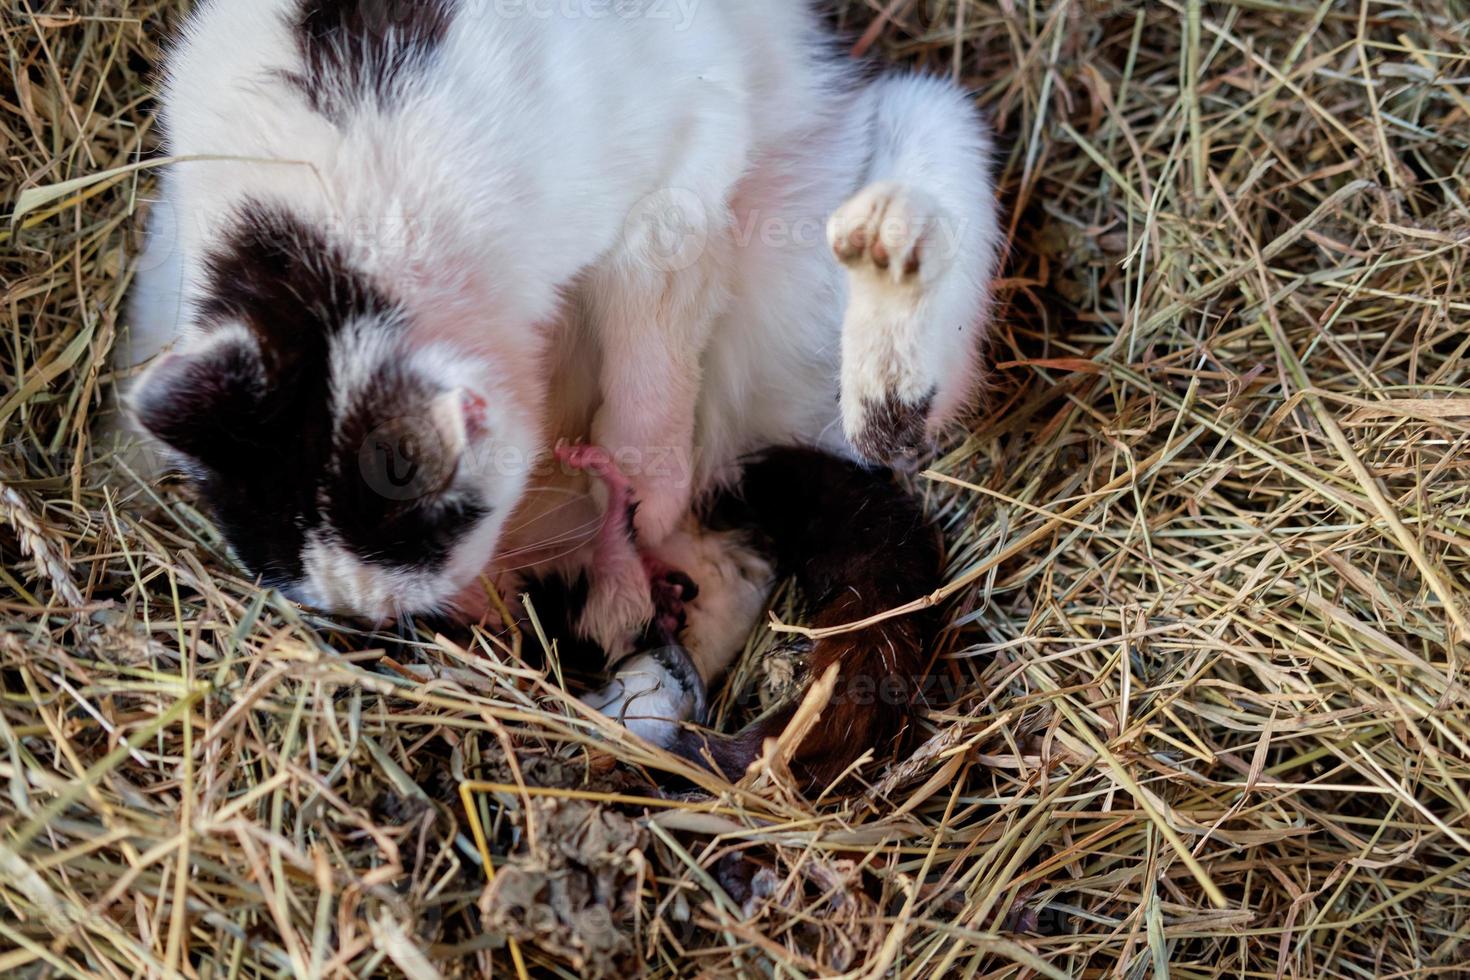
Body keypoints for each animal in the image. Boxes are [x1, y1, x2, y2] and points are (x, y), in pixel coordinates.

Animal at [123, 0, 999, 787]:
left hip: (932, 119)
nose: (483, 616)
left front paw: (642, 476)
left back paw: (889, 271)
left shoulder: (677, 166)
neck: (323, 252)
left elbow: (652, 330)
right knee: (721, 581)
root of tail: (748, 442)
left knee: (890, 431)